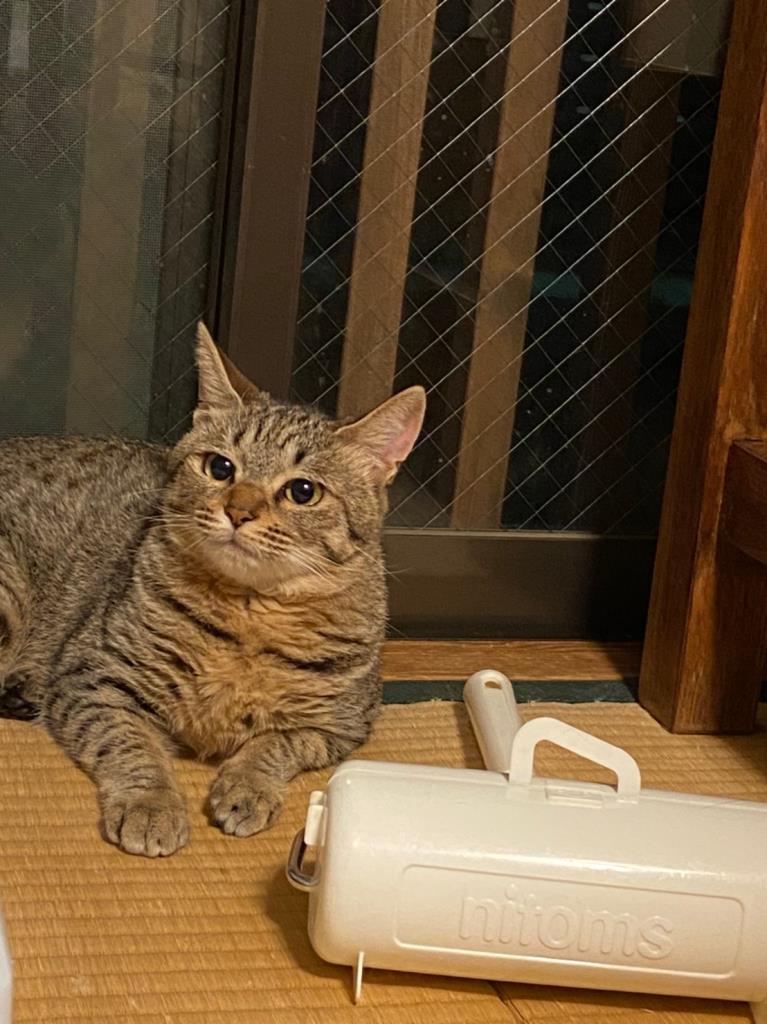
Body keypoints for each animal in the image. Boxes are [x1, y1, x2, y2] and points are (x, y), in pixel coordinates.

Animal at [0, 323, 425, 857]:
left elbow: (278, 743)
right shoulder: (94, 677)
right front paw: (151, 805)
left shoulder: (342, 725)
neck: (249, 617)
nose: (239, 510)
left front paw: (247, 786)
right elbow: (131, 745)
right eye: (220, 468)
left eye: (303, 491)